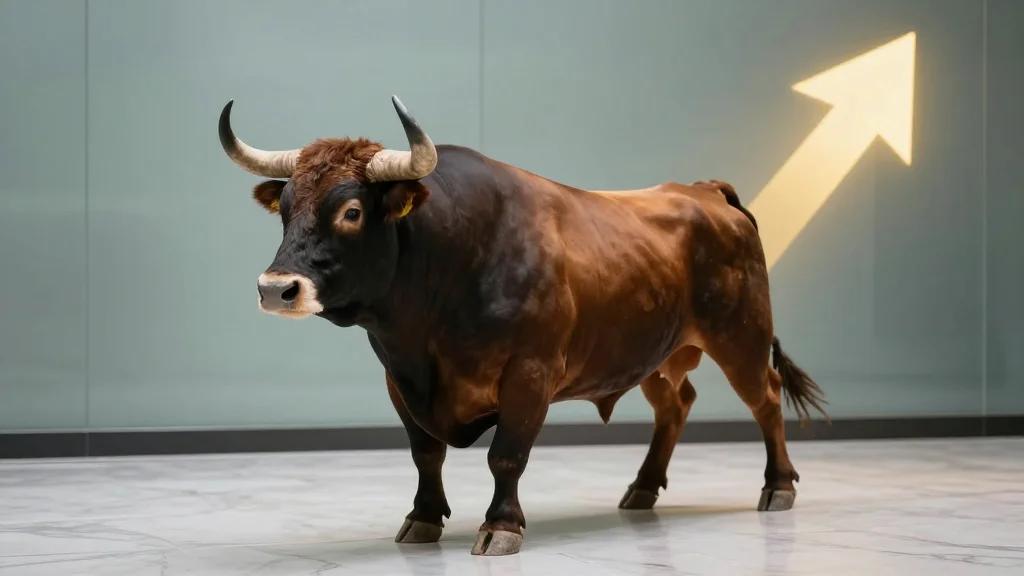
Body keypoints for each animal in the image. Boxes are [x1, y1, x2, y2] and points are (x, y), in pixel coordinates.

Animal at [218, 96, 826, 556]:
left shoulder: (530, 373)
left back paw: (777, 487)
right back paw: (642, 489)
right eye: (285, 208)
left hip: (741, 334)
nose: (276, 288)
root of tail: (702, 190)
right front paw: (423, 518)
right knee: (675, 405)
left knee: (766, 399)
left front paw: (501, 525)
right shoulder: (398, 378)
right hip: (655, 351)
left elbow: (505, 455)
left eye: (352, 212)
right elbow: (425, 454)